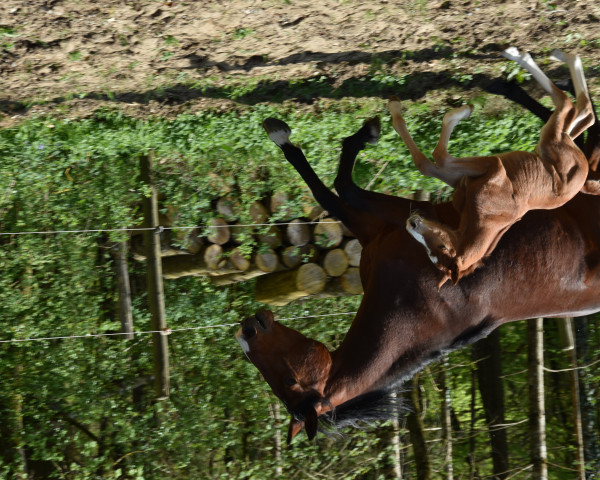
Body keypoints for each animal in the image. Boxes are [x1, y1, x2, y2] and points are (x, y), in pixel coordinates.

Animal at [234, 57, 600, 446]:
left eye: (289, 380)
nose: (247, 329)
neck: (425, 305)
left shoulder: (391, 216)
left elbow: (336, 188)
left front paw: (331, 132)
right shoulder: (383, 226)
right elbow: (337, 188)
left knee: (576, 121)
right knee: (577, 124)